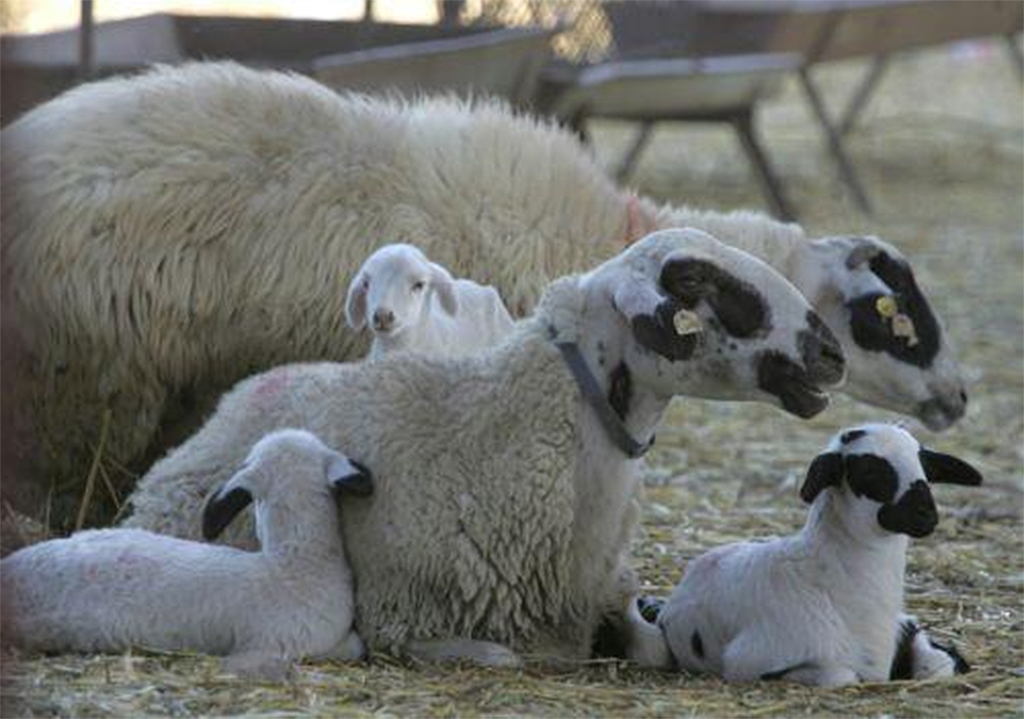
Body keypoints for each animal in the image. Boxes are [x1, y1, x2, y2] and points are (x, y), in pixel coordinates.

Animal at [655, 426, 983, 688]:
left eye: (924, 466)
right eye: (868, 470)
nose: (926, 514)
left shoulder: (906, 630)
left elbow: (938, 664)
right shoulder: (748, 661)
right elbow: (841, 676)